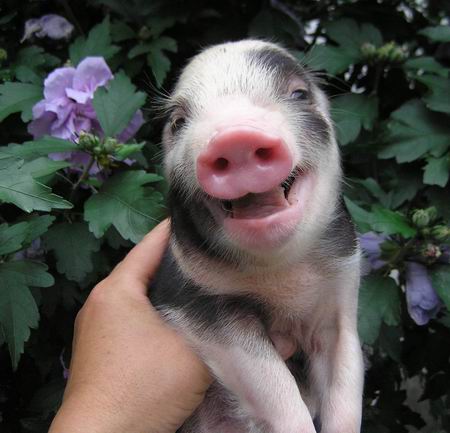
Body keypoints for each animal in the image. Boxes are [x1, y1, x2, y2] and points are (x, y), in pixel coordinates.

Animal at [150, 39, 364, 433]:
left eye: (299, 94)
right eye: (178, 122)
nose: (235, 137)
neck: (282, 275)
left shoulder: (341, 299)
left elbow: (346, 386)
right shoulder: (199, 303)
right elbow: (274, 386)